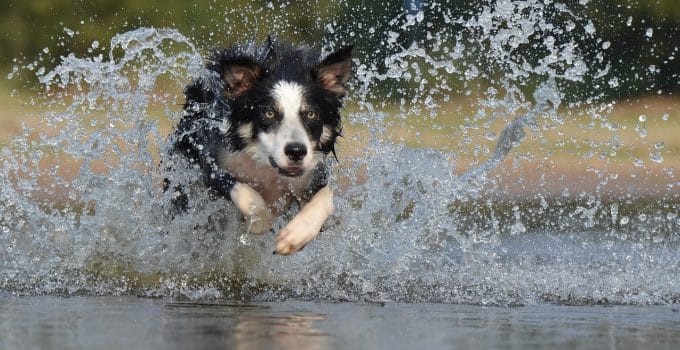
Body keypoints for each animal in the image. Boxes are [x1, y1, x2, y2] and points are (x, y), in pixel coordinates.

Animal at [163, 39, 350, 254]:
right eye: (269, 113)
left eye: (311, 114)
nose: (296, 151)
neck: (267, 167)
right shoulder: (213, 163)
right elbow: (247, 195)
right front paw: (259, 221)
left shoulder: (313, 173)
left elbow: (326, 196)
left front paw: (296, 235)